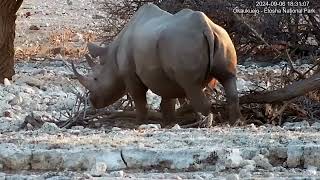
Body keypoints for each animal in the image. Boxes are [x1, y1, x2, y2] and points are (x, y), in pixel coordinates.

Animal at [72, 3, 241, 126]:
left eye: (96, 79)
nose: (93, 101)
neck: (112, 56)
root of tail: (206, 27)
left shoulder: (130, 74)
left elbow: (140, 100)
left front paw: (139, 123)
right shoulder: (163, 75)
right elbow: (168, 98)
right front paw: (169, 123)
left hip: (184, 44)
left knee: (192, 86)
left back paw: (204, 122)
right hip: (222, 37)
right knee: (228, 78)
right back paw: (234, 122)